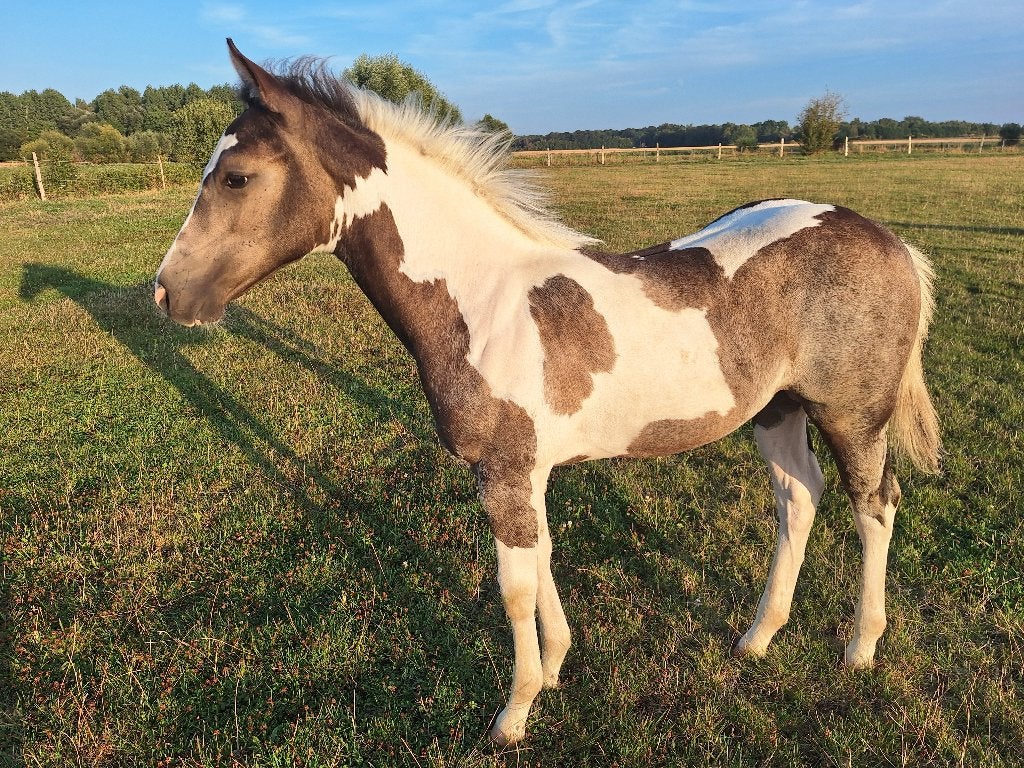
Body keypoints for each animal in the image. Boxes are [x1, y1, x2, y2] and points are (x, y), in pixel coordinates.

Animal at [154, 39, 941, 745]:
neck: (481, 302)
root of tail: (891, 242)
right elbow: (545, 559)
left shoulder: (503, 472)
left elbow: (514, 587)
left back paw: (859, 648)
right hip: (776, 412)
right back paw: (757, 637)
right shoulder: (525, 473)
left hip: (853, 415)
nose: (167, 294)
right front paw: (559, 666)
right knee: (799, 496)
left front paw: (514, 714)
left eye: (236, 178)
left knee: (875, 506)